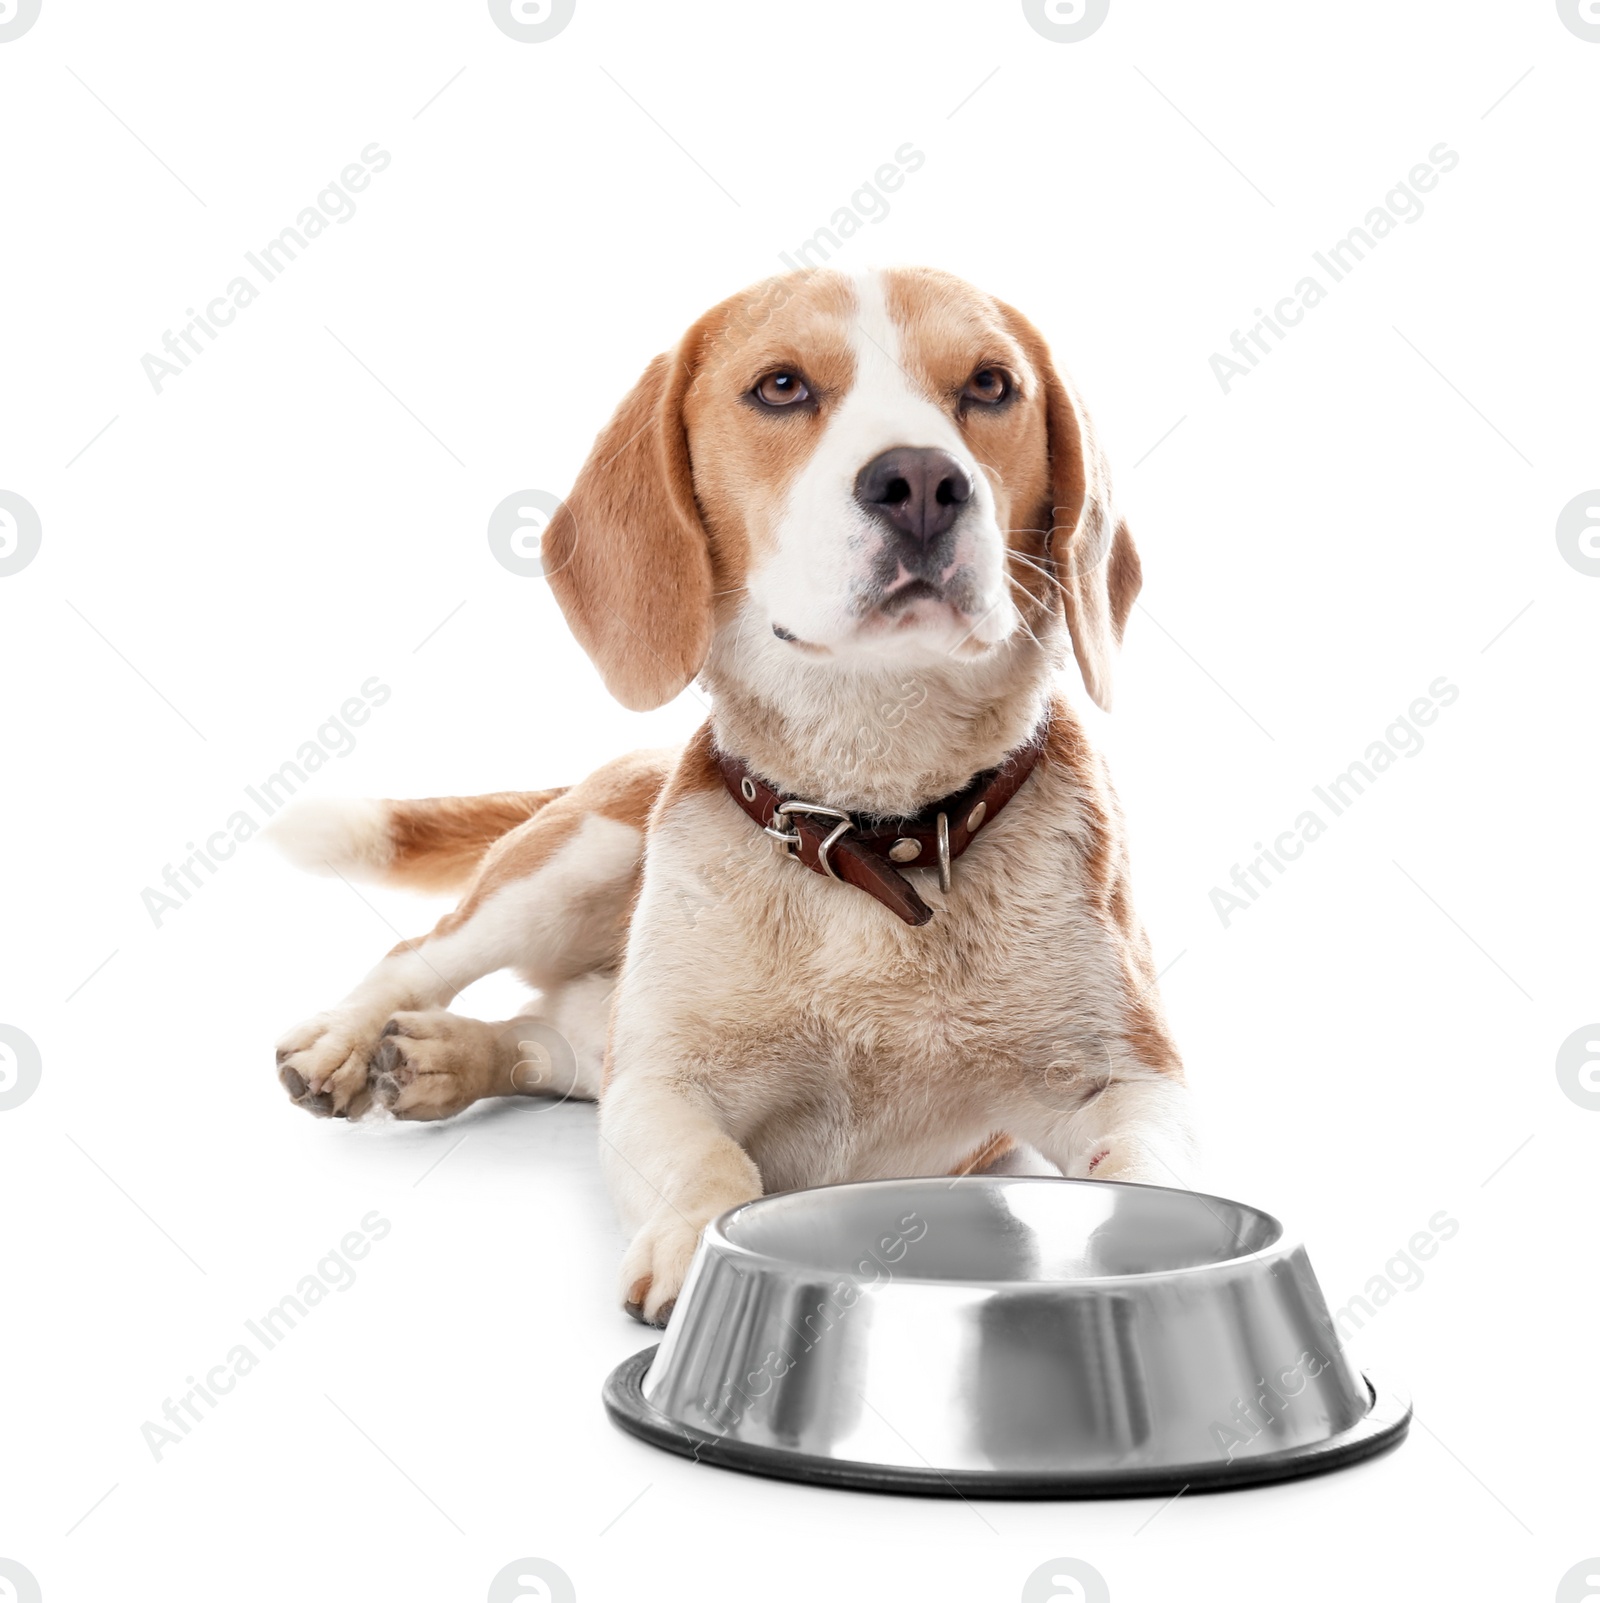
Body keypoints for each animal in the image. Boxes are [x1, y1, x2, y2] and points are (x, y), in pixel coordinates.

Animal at [269, 262, 1199, 1320]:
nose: (923, 482)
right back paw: (345, 1040)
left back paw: (441, 1056)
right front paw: (698, 1250)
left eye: (992, 385)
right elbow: (715, 1166)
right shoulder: (664, 1084)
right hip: (572, 861)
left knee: (544, 1042)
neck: (868, 830)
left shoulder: (1131, 1080)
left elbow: (1150, 1167)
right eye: (782, 387)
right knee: (419, 956)